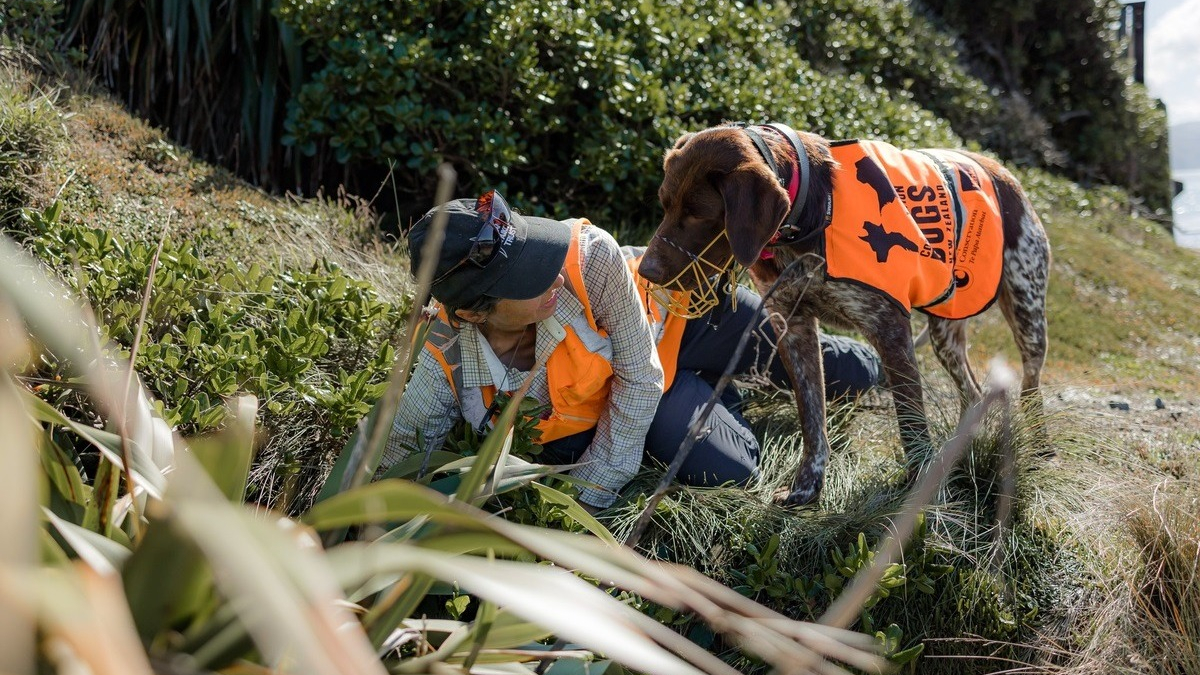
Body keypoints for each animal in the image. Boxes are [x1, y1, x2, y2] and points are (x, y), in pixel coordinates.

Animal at [638, 123, 1051, 506]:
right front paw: (807, 487)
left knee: (1030, 385)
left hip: (1027, 314)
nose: (646, 271)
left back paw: (1038, 446)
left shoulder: (889, 329)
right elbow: (812, 418)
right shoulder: (793, 326)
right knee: (974, 392)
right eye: (665, 203)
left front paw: (923, 504)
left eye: (699, 214)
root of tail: (1000, 170)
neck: (808, 217)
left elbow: (912, 425)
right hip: (945, 335)